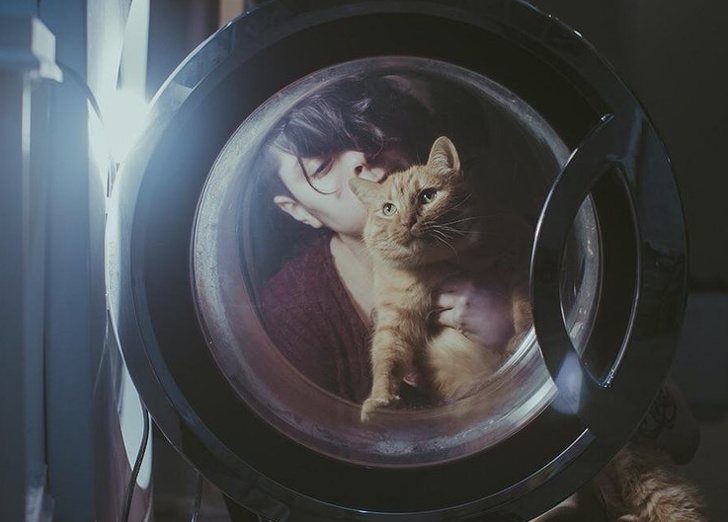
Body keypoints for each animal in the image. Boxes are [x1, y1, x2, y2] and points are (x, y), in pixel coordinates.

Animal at [350, 134, 532, 418]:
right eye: (389, 209)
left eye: (428, 196)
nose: (407, 222)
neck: (438, 264)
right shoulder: (395, 315)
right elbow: (387, 356)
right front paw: (380, 399)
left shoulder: (519, 250)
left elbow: (523, 303)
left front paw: (523, 336)